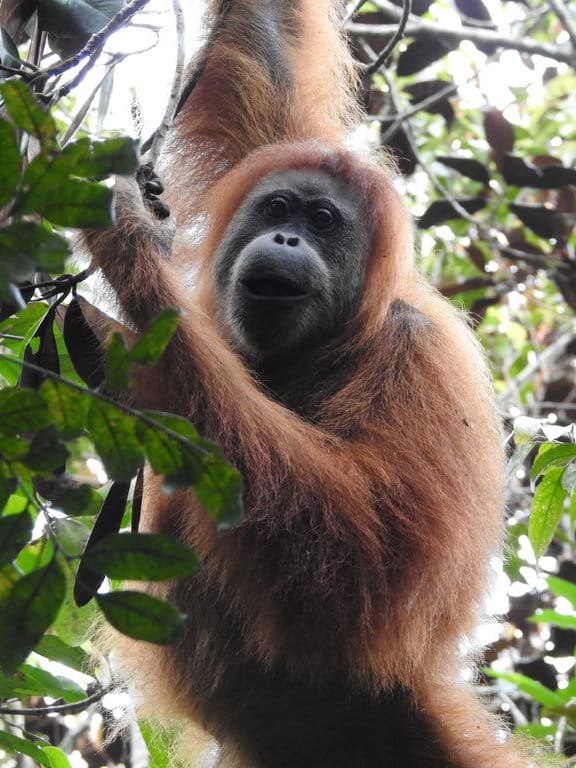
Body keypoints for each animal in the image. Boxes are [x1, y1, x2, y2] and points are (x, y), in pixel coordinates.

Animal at [83, 1, 532, 766]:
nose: (289, 240)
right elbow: (267, 50)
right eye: (278, 209)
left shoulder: (420, 358)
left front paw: (131, 259)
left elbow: (361, 569)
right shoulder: (271, 143)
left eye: (323, 221)